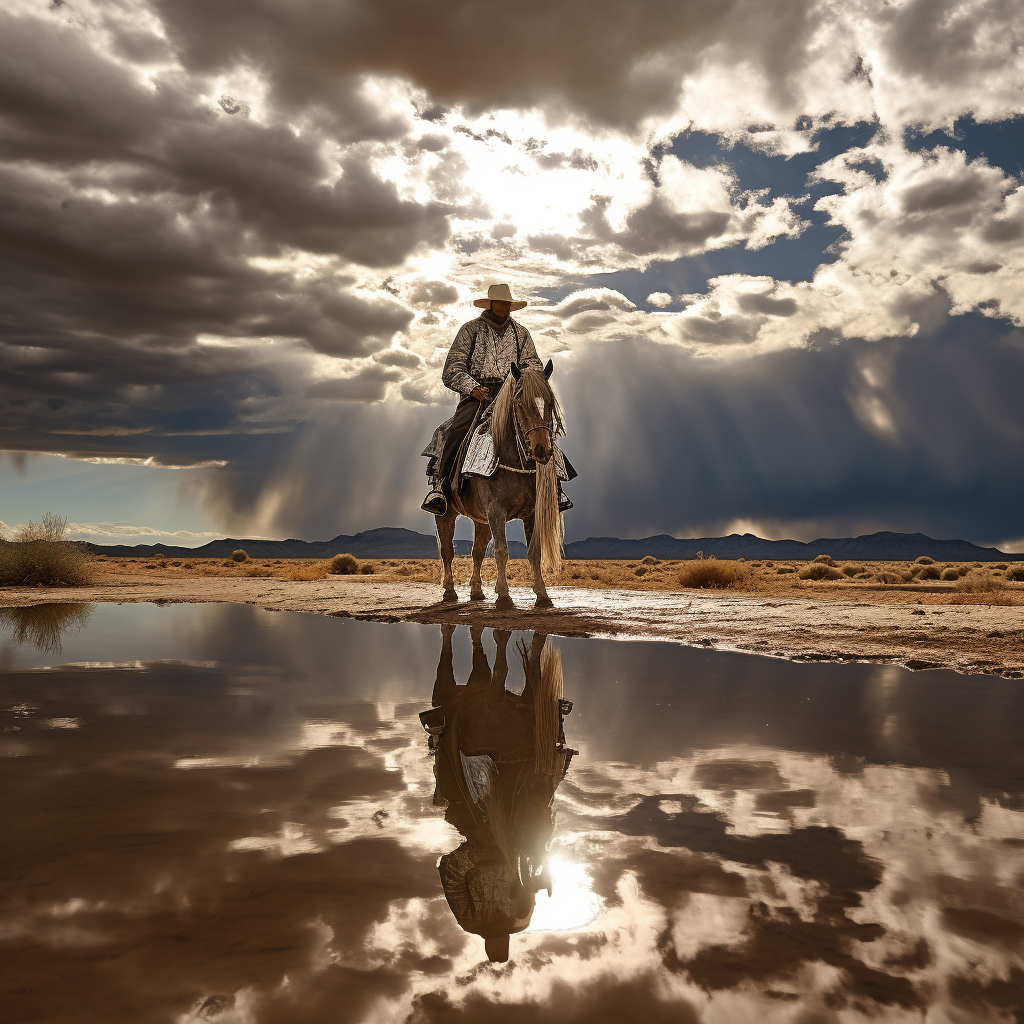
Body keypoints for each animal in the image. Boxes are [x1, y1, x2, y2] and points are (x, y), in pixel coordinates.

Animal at [434, 362, 565, 606]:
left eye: (550, 401)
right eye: (519, 401)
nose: (541, 449)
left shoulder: (531, 513)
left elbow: (534, 552)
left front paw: (542, 594)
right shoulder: (496, 511)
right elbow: (502, 551)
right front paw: (504, 595)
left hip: (481, 519)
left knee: (477, 551)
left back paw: (476, 591)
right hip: (446, 513)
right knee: (447, 550)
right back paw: (449, 591)